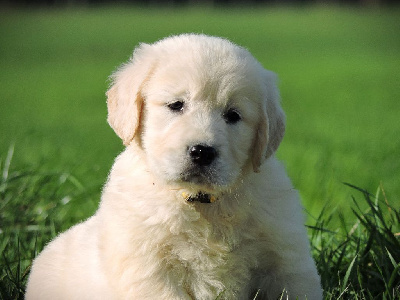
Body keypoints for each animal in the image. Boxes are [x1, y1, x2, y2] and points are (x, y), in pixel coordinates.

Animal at [25, 34, 322, 298]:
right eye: (176, 105)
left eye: (233, 115)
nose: (202, 152)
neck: (201, 203)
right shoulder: (149, 269)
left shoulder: (286, 259)